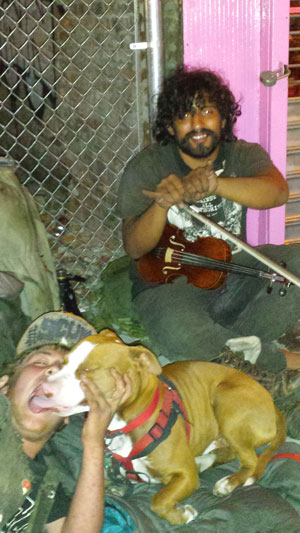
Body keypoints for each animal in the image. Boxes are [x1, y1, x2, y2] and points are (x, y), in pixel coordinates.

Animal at [35, 328, 286, 524]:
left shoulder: (186, 475)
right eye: (63, 363)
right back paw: (204, 462)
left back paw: (229, 483)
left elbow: (158, 501)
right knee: (229, 452)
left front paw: (182, 515)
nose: (42, 388)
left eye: (87, 371)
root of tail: (273, 404)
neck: (125, 422)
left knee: (250, 460)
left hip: (226, 402)